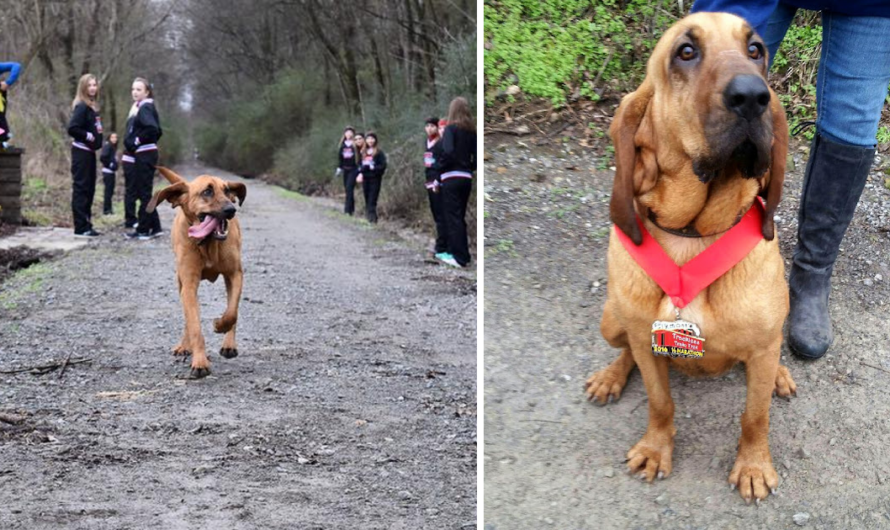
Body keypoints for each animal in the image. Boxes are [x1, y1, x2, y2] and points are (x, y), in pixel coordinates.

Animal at [146, 165, 245, 376]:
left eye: (227, 191)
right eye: (207, 191)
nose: (231, 210)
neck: (208, 244)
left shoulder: (235, 275)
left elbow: (232, 312)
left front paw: (220, 325)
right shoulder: (189, 285)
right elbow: (194, 326)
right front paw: (199, 362)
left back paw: (229, 344)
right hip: (181, 283)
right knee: (187, 318)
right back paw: (185, 345)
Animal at [584, 10, 796, 502]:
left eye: (755, 49)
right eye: (686, 51)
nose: (753, 97)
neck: (693, 233)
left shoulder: (762, 347)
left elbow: (755, 416)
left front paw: (753, 466)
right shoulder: (645, 338)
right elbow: (660, 402)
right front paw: (655, 449)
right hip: (611, 320)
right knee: (626, 352)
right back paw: (610, 376)